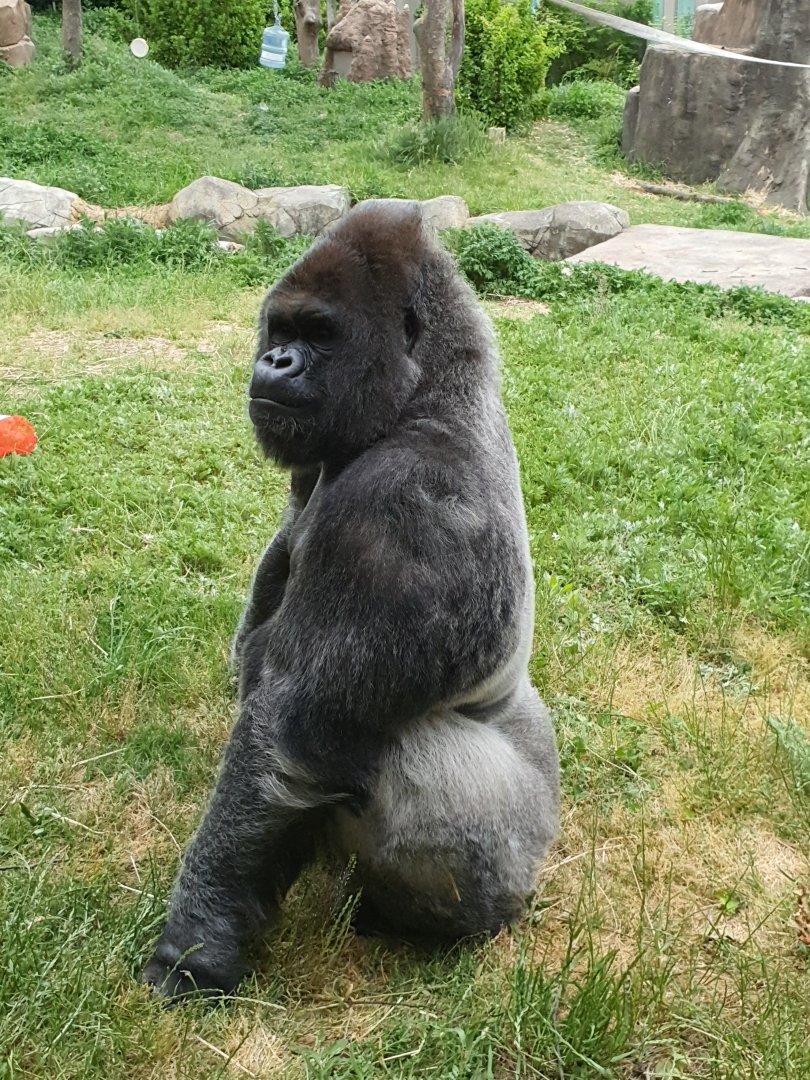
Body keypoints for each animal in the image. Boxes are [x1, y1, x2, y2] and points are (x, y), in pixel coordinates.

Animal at [143, 200, 560, 1001]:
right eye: (282, 329)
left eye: (321, 334)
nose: (276, 362)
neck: (427, 392)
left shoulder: (403, 508)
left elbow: (284, 727)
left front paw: (194, 945)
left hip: (516, 862)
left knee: (406, 758)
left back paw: (424, 922)